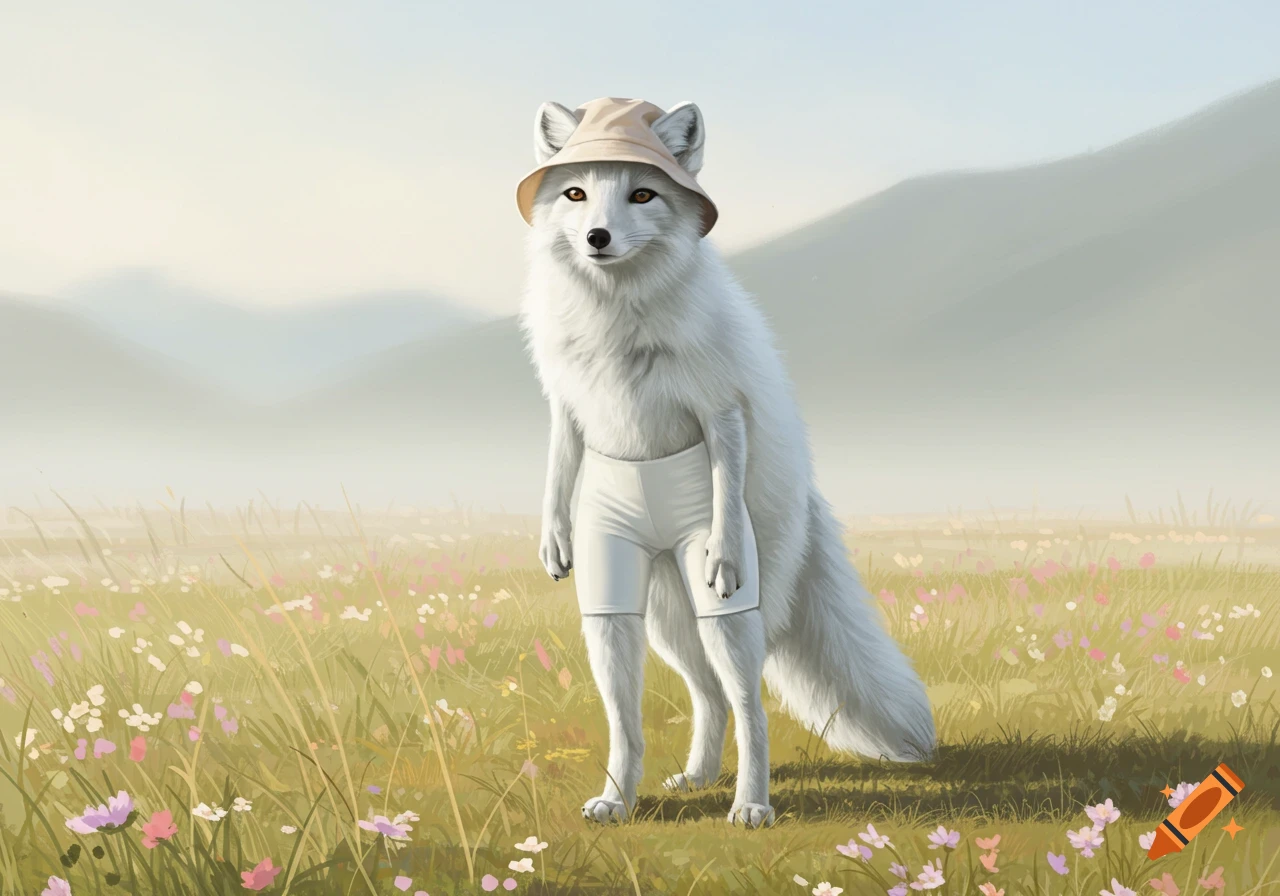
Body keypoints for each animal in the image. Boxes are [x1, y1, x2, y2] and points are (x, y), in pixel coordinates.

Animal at [517, 98, 935, 828]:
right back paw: (693, 777)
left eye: (643, 193)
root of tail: (809, 495)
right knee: (706, 695)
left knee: (748, 701)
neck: (615, 321)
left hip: (726, 614)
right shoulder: (568, 407)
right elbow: (623, 719)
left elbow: (725, 440)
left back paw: (750, 803)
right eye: (575, 194)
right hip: (658, 618)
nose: (597, 236)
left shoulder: (720, 406)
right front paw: (616, 799)